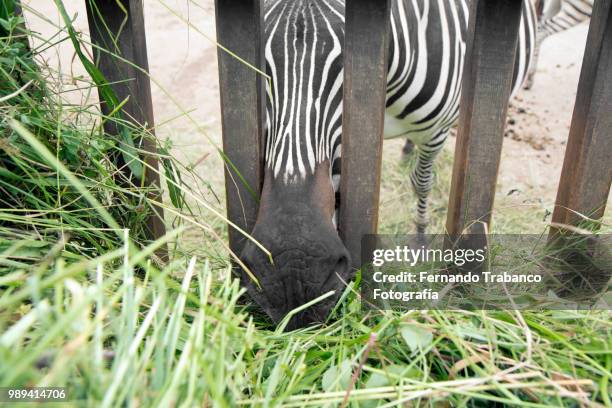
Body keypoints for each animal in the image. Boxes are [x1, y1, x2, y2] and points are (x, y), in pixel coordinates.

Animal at [239, 0, 536, 326]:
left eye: (351, 65)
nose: (292, 274)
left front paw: (419, 240)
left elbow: (421, 183)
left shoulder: (436, 131)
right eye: (258, 65)